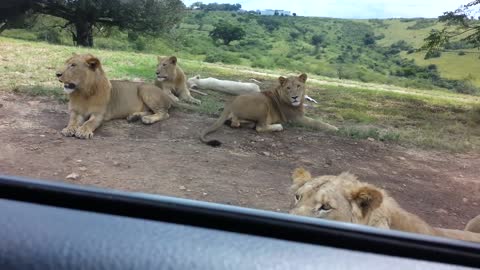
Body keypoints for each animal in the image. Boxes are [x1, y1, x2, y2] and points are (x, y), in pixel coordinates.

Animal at [55, 53, 185, 139]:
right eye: (65, 63)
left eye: (73, 65)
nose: (57, 74)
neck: (83, 92)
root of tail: (167, 95)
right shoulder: (75, 112)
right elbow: (72, 121)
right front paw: (68, 129)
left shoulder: (98, 114)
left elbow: (89, 123)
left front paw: (83, 131)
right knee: (150, 111)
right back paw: (134, 116)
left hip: (145, 89)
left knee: (164, 113)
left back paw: (148, 119)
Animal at [199, 73, 338, 147]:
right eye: (288, 88)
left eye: (299, 86)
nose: (295, 97)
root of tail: (230, 102)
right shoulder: (296, 118)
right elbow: (317, 122)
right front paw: (335, 128)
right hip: (264, 104)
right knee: (260, 127)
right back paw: (277, 126)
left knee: (235, 122)